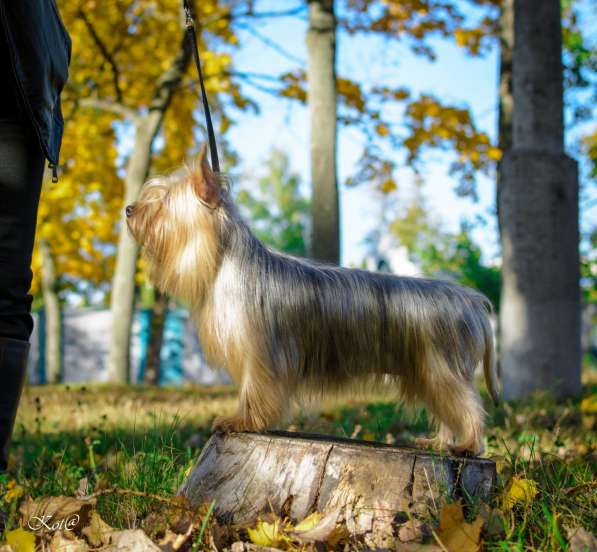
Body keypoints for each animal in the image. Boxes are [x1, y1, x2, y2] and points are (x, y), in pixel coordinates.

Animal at [127, 146, 498, 452]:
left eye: (162, 201)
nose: (130, 209)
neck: (224, 263)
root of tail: (471, 301)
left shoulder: (261, 354)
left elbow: (254, 390)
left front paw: (241, 422)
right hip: (425, 371)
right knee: (448, 407)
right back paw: (439, 443)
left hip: (440, 367)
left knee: (466, 404)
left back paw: (468, 445)